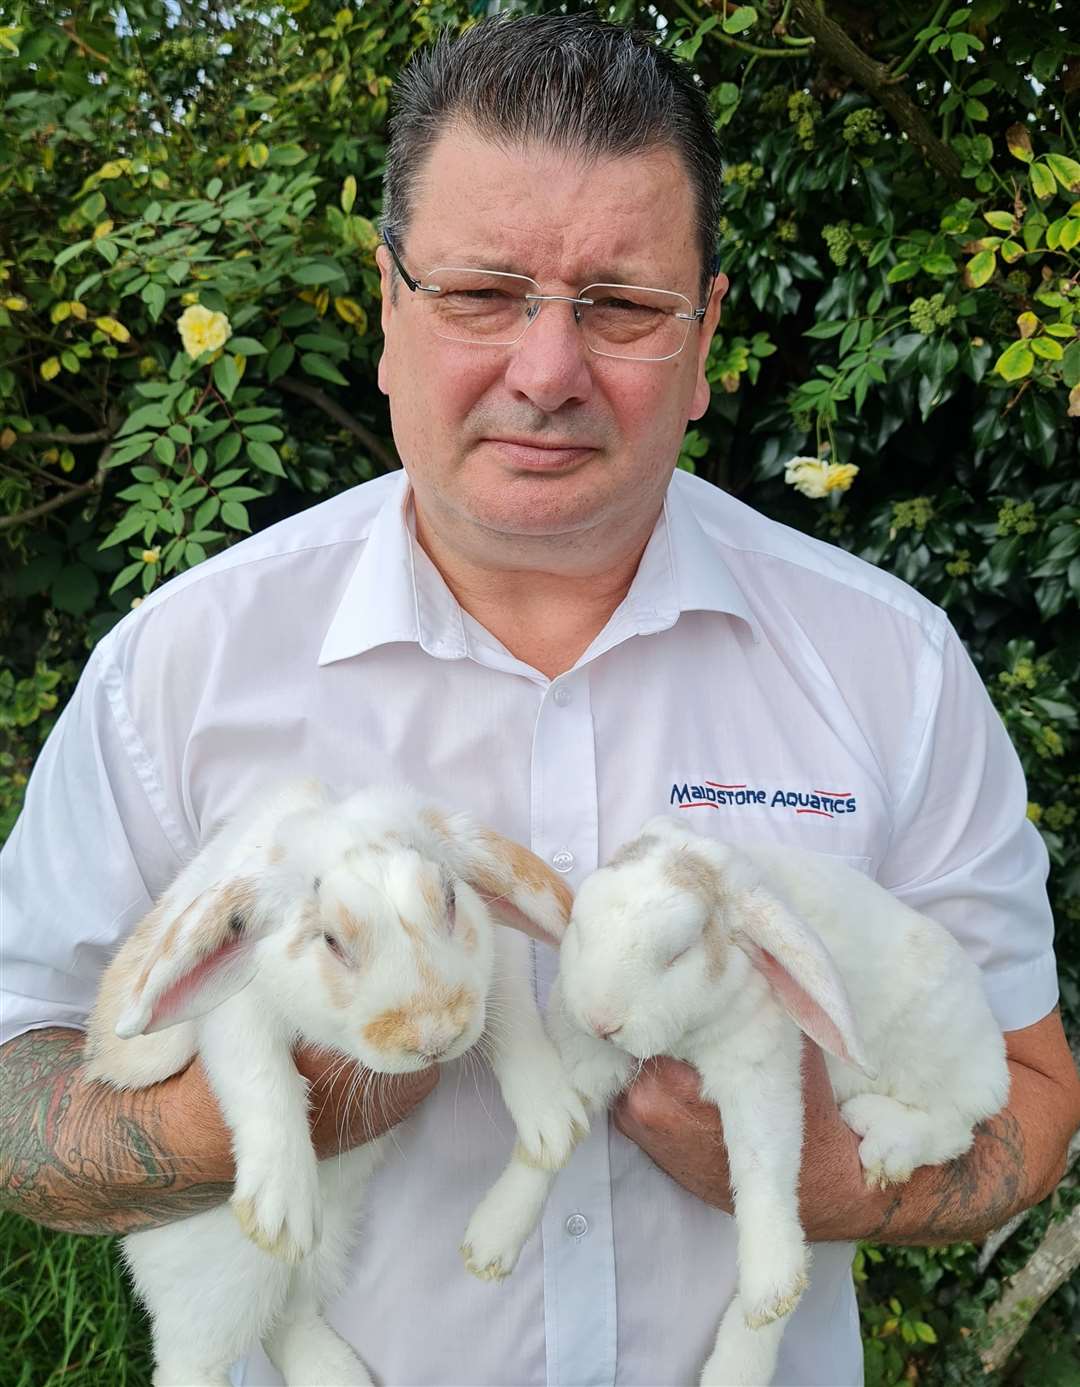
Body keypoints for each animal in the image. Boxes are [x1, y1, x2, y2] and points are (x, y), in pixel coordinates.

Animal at [84, 782, 590, 1387]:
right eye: (329, 939)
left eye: (450, 900)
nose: (435, 1036)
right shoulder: (237, 1012)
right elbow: (262, 1080)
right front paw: (281, 1211)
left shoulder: (497, 963)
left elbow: (517, 1025)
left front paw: (554, 1124)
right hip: (215, 1281)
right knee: (192, 1359)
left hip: (326, 1248)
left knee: (290, 1318)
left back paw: (336, 1372)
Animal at [460, 815, 1009, 1381]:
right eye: (580, 929)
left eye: (678, 954)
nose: (600, 1019)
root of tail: (990, 1052)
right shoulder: (588, 1058)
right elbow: (549, 1142)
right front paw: (492, 1237)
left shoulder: (760, 1069)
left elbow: (762, 1173)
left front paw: (772, 1289)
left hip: (935, 1055)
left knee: (956, 1125)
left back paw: (884, 1142)